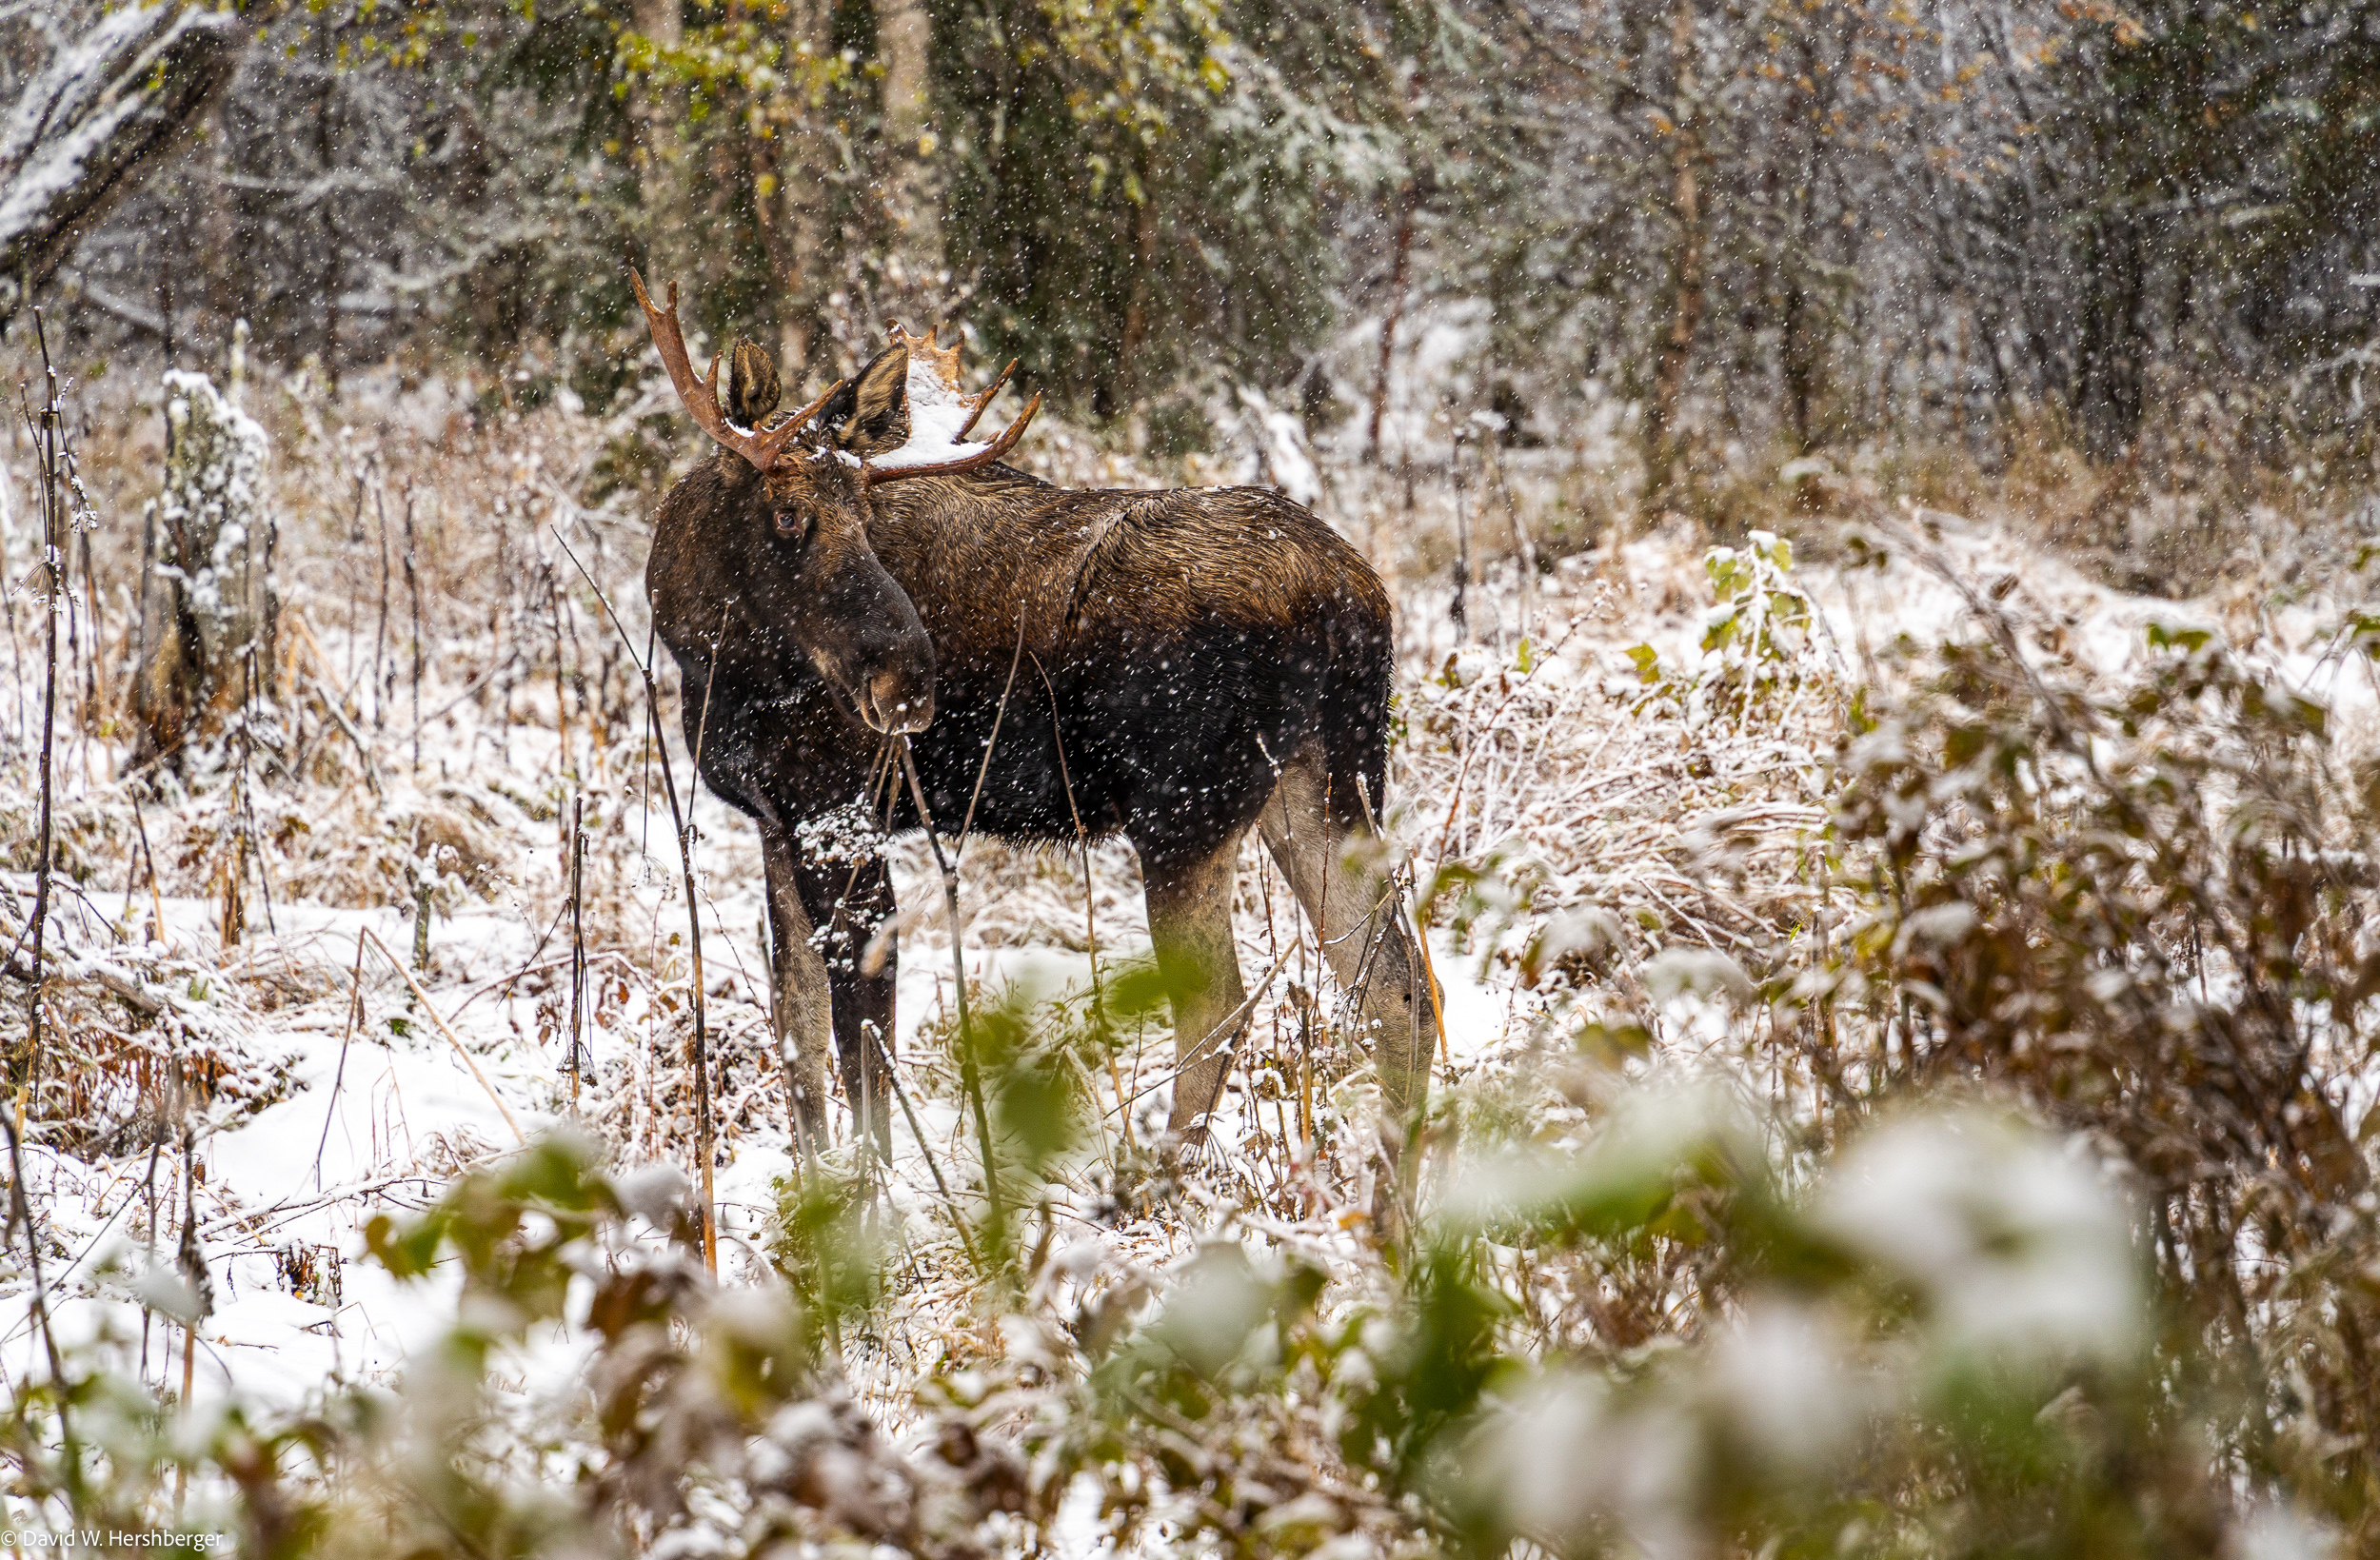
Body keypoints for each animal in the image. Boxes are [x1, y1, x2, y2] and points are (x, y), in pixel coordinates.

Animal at [629, 271, 1438, 1162]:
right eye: (785, 513)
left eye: (866, 516)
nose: (909, 678)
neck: (707, 653)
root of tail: (1356, 602)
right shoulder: (776, 819)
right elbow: (798, 1042)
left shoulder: (841, 812)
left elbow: (862, 1048)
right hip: (1322, 791)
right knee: (1400, 990)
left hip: (1186, 815)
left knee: (1222, 1005)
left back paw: (1160, 1180)